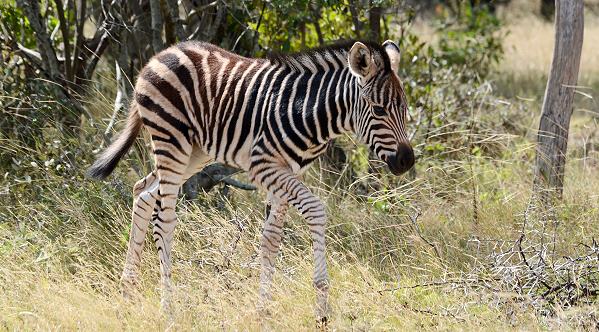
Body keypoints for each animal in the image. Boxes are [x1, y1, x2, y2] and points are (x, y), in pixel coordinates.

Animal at [89, 39, 414, 322]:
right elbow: (316, 210)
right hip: (171, 141)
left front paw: (263, 312)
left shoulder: (290, 170)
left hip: (194, 152)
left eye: (404, 108)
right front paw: (322, 308)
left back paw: (127, 294)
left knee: (142, 192)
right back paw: (167, 309)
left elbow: (271, 239)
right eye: (379, 110)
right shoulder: (263, 166)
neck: (307, 113)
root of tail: (159, 55)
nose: (407, 161)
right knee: (164, 221)